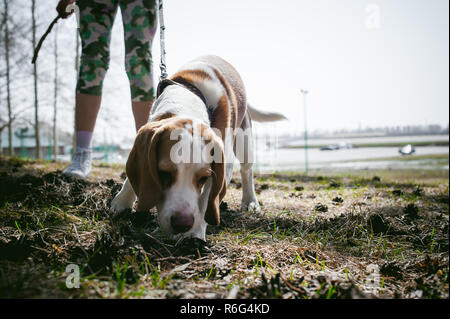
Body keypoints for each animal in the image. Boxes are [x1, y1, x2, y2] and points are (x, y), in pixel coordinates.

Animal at [110, 55, 284, 240]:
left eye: (203, 178)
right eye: (163, 173)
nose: (182, 224)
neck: (188, 103)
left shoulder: (223, 163)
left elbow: (206, 200)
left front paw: (194, 235)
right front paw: (121, 203)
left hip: (245, 142)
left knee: (246, 171)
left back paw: (250, 201)